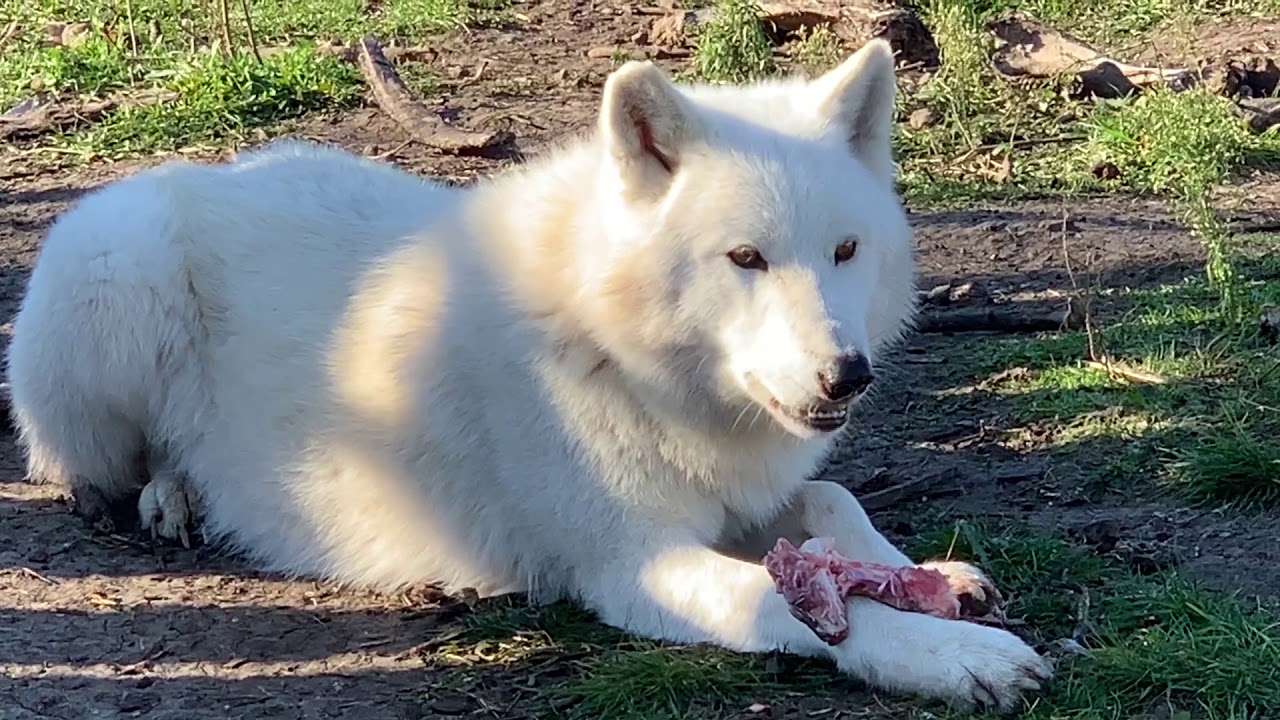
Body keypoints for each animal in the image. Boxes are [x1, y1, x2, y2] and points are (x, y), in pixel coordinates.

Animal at [7, 40, 1051, 712]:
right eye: (746, 259)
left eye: (845, 251)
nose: (847, 377)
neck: (622, 356)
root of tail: (201, 167)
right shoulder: (632, 567)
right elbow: (791, 601)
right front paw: (955, 655)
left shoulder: (746, 493)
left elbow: (836, 500)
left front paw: (927, 575)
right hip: (125, 277)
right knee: (106, 464)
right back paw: (171, 498)